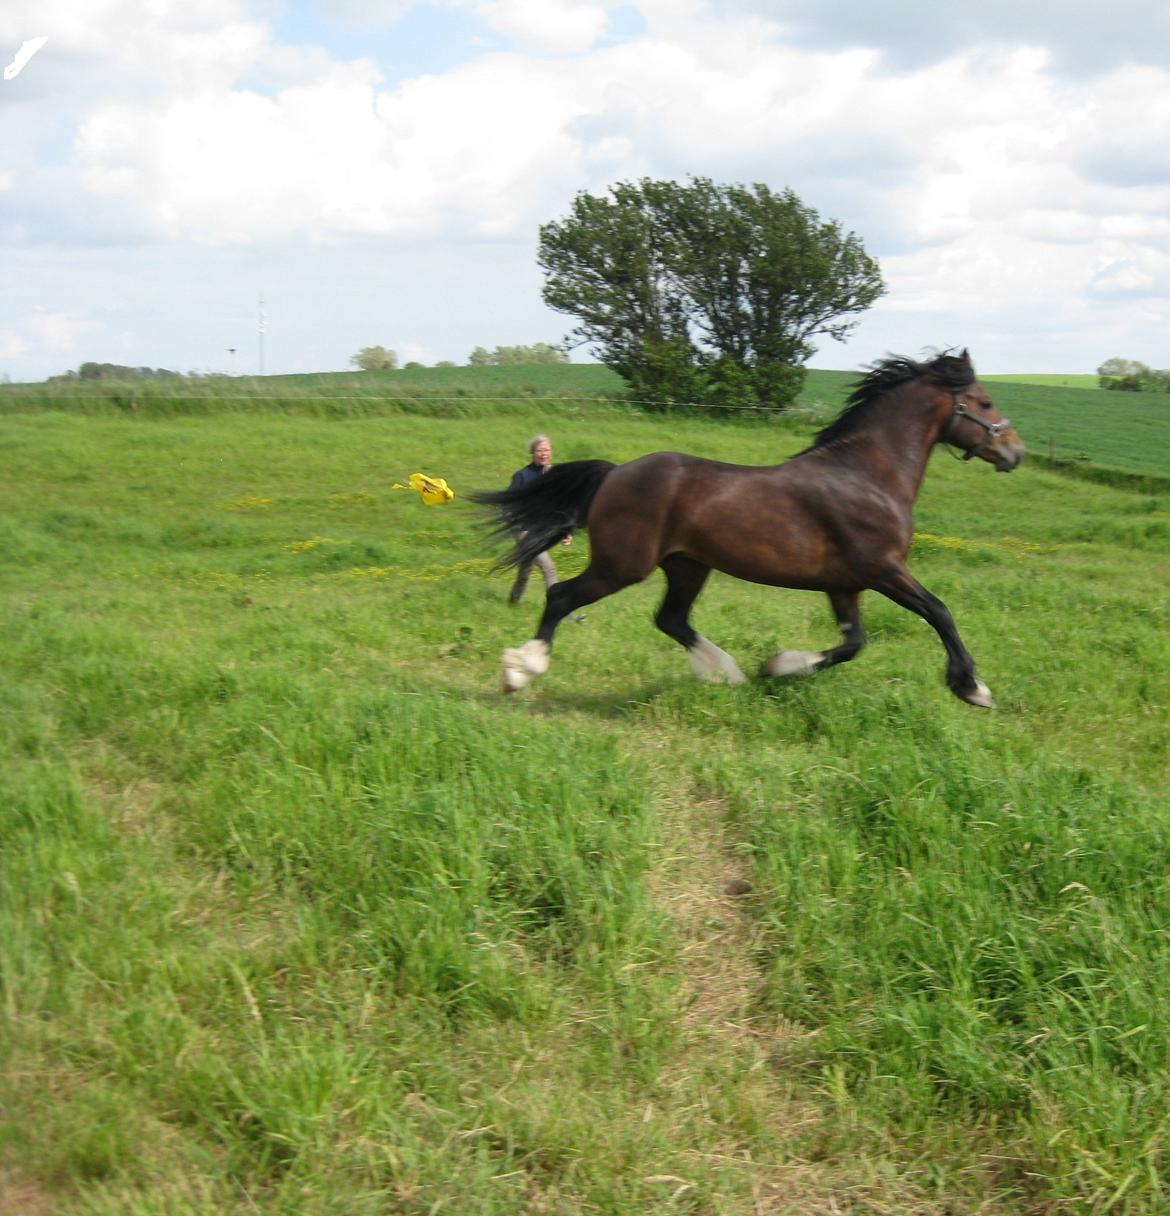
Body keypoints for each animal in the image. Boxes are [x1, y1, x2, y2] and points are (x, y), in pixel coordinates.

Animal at [474, 352, 1021, 710]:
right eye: (984, 402)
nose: (1015, 452)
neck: (868, 475)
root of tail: (614, 473)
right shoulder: (882, 569)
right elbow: (939, 612)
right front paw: (973, 689)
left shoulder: (844, 584)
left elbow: (853, 644)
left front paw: (775, 668)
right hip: (623, 564)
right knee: (563, 596)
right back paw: (519, 673)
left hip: (687, 565)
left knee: (671, 619)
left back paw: (730, 675)